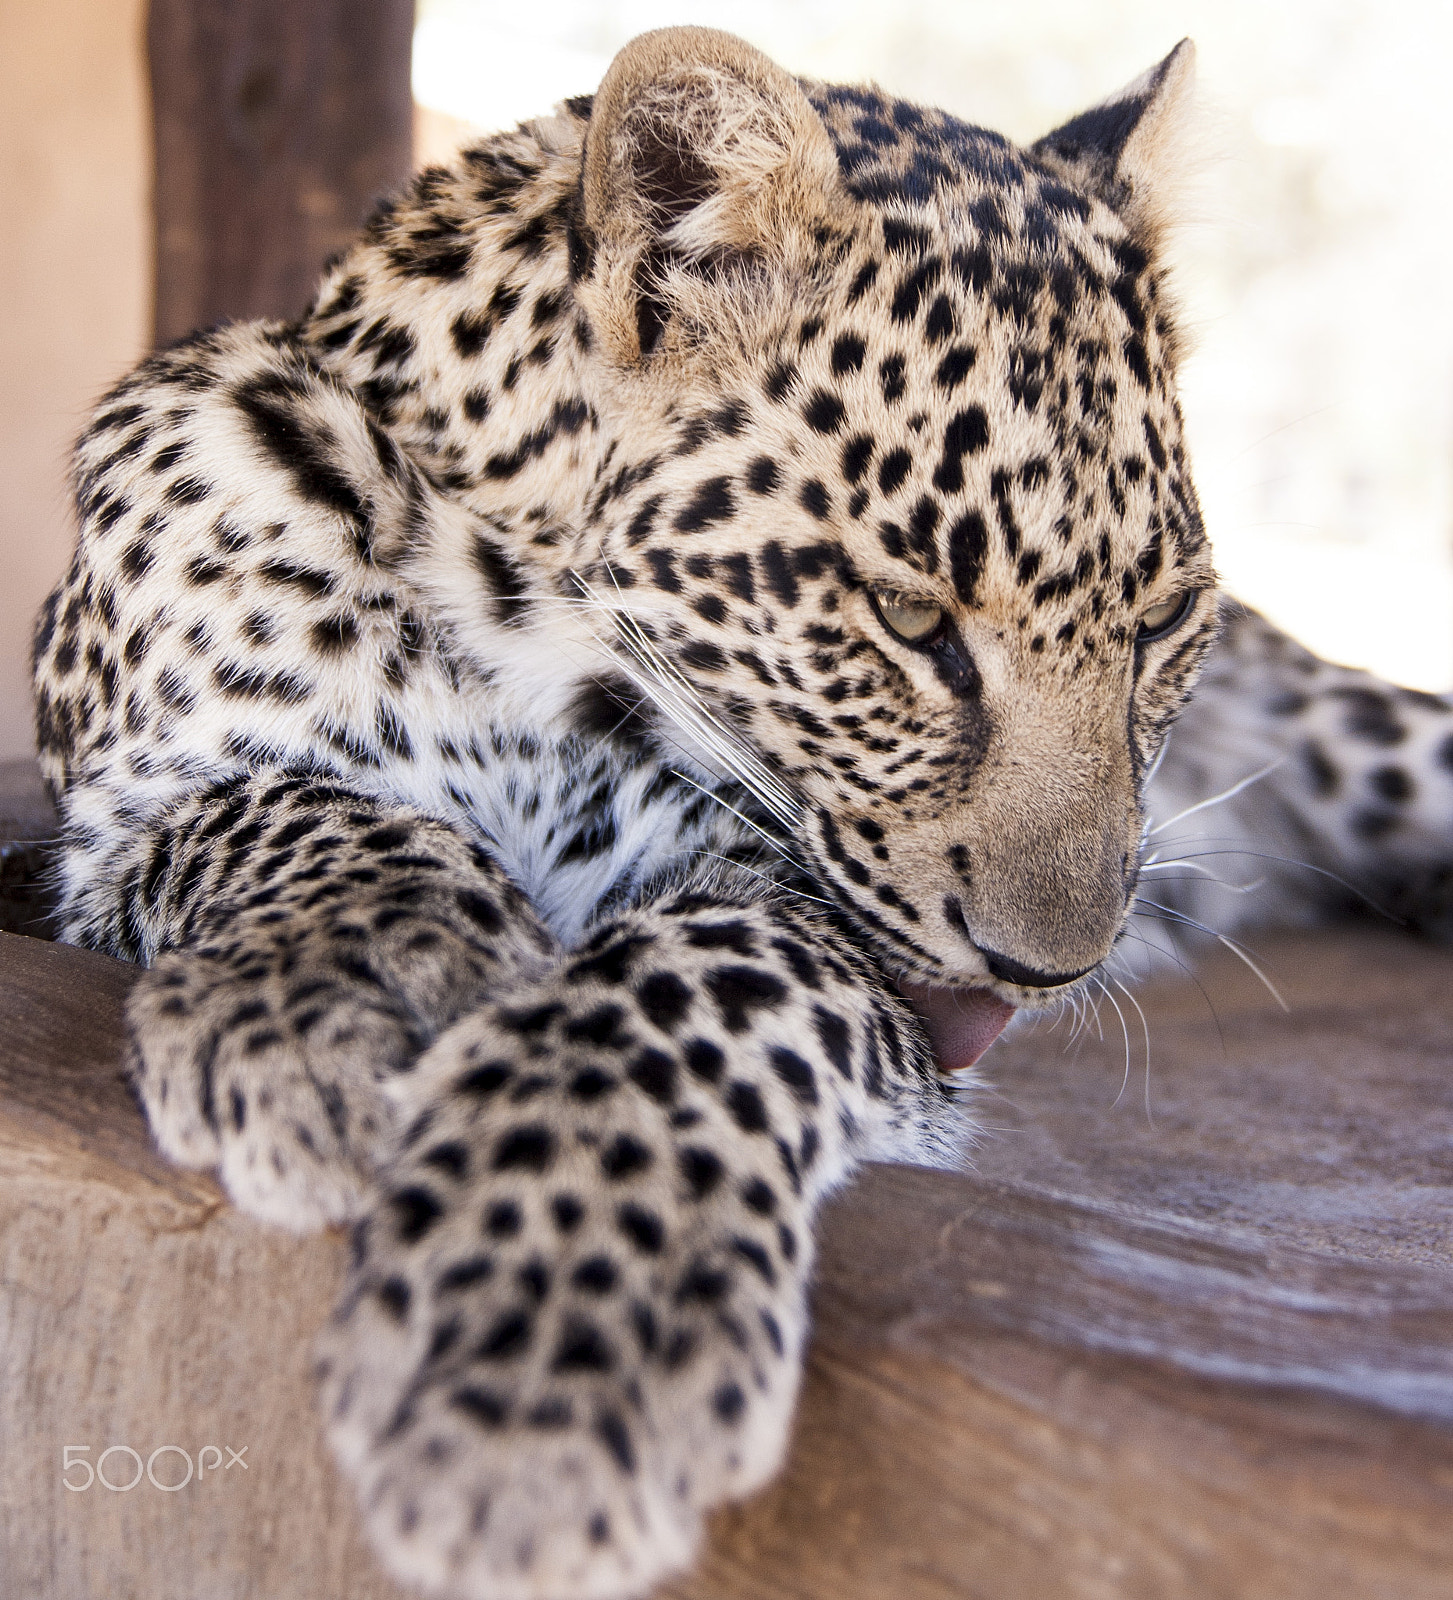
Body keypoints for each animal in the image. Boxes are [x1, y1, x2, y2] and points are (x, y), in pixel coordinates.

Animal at [30, 26, 1453, 1600]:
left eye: (1159, 625)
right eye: (909, 619)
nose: (1055, 969)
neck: (512, 632)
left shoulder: (794, 923)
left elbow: (692, 984)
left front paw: (552, 1338)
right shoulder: (111, 820)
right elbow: (290, 806)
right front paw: (363, 988)